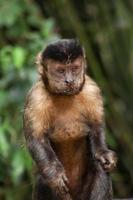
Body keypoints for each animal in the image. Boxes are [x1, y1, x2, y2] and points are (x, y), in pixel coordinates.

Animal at [23, 39, 117, 200]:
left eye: (74, 68)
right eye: (61, 71)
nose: (69, 80)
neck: (63, 96)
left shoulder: (91, 89)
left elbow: (96, 127)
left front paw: (104, 154)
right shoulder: (36, 97)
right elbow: (36, 138)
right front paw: (55, 175)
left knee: (100, 167)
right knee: (44, 180)